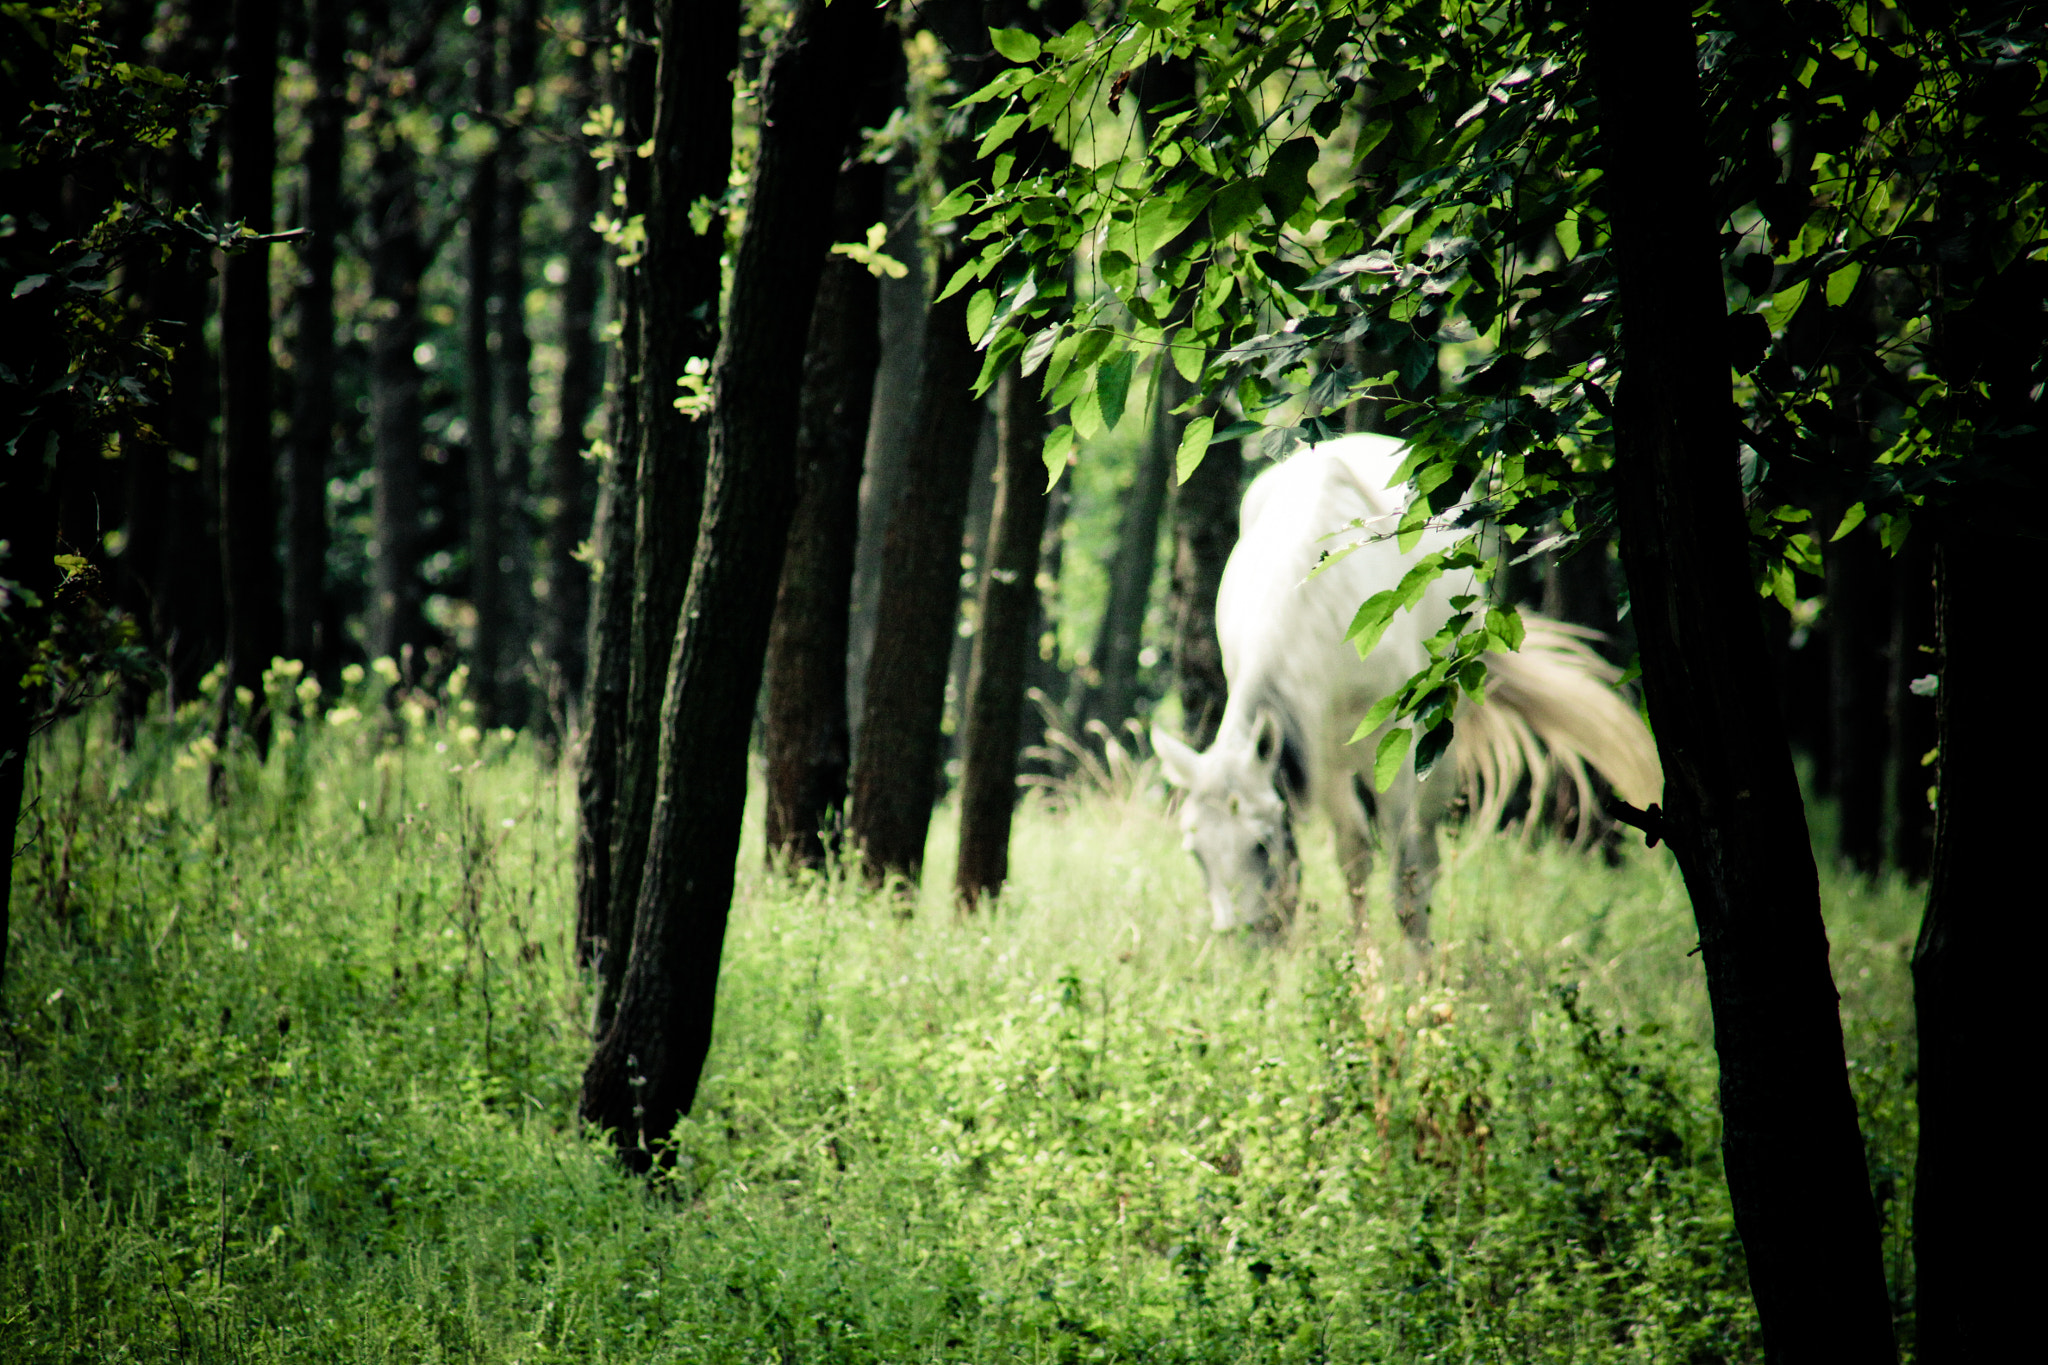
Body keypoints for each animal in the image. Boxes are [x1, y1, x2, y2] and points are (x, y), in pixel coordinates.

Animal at [1152, 432, 1662, 946]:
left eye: (1261, 844)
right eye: (1195, 853)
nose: (1245, 943)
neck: (1323, 603)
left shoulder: (1396, 756)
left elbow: (1405, 878)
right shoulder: (1322, 754)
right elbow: (1354, 861)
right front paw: (1361, 962)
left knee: (1427, 849)